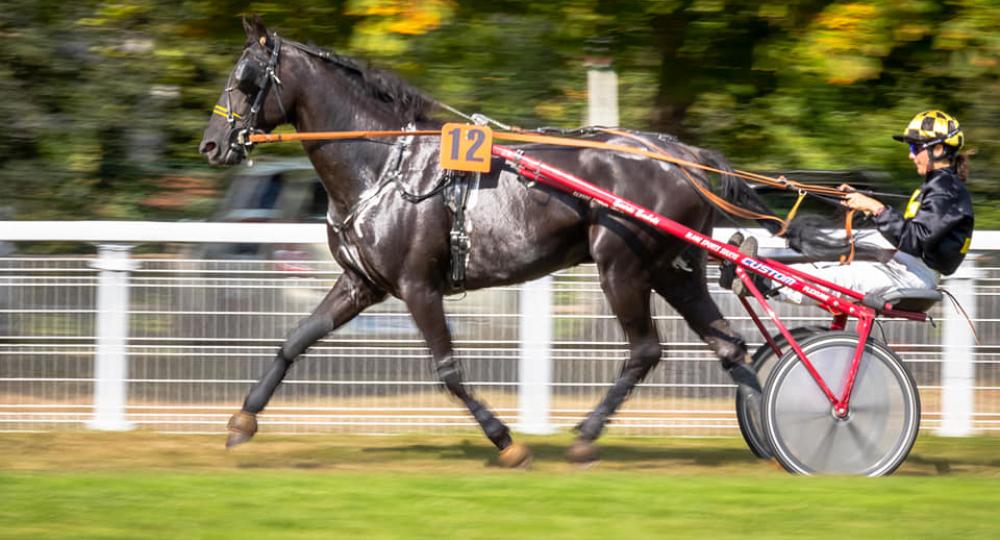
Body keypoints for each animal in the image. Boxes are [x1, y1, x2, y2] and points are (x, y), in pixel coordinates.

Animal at [199, 15, 780, 464]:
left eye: (245, 79)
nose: (212, 143)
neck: (384, 164)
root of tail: (685, 156)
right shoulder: (362, 283)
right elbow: (295, 339)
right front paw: (242, 421)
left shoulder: (418, 286)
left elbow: (449, 371)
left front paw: (507, 443)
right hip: (672, 269)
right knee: (727, 344)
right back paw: (768, 430)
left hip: (622, 268)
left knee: (645, 350)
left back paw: (587, 436)